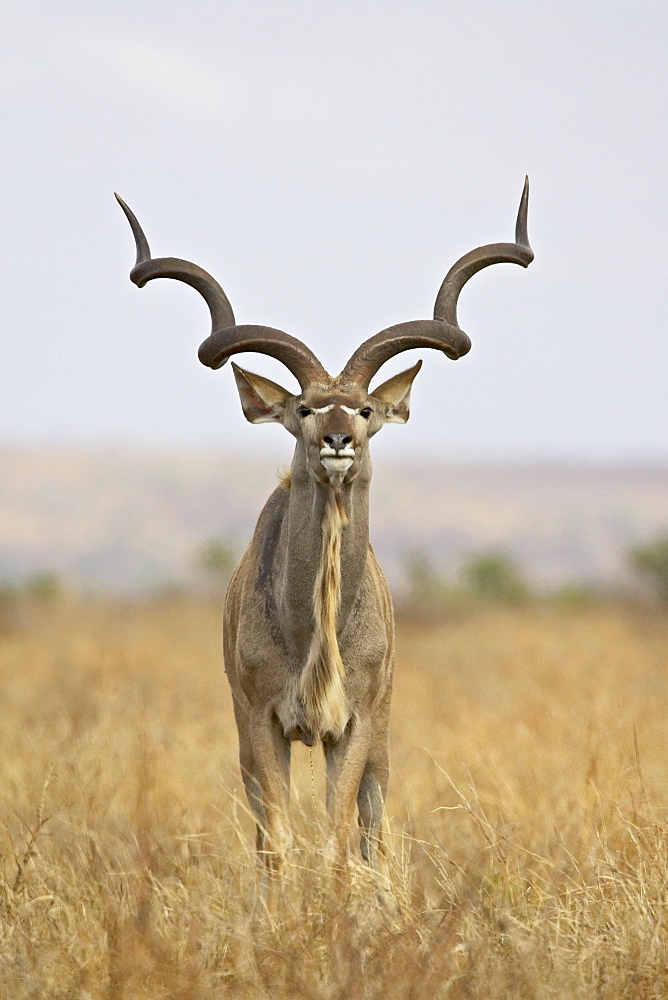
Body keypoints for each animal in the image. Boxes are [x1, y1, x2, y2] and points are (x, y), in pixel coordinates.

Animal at [116, 180, 532, 884]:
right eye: (306, 408)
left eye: (364, 409)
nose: (338, 441)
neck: (312, 627)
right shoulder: (260, 722)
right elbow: (279, 846)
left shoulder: (355, 726)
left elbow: (340, 843)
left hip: (382, 739)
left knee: (375, 829)